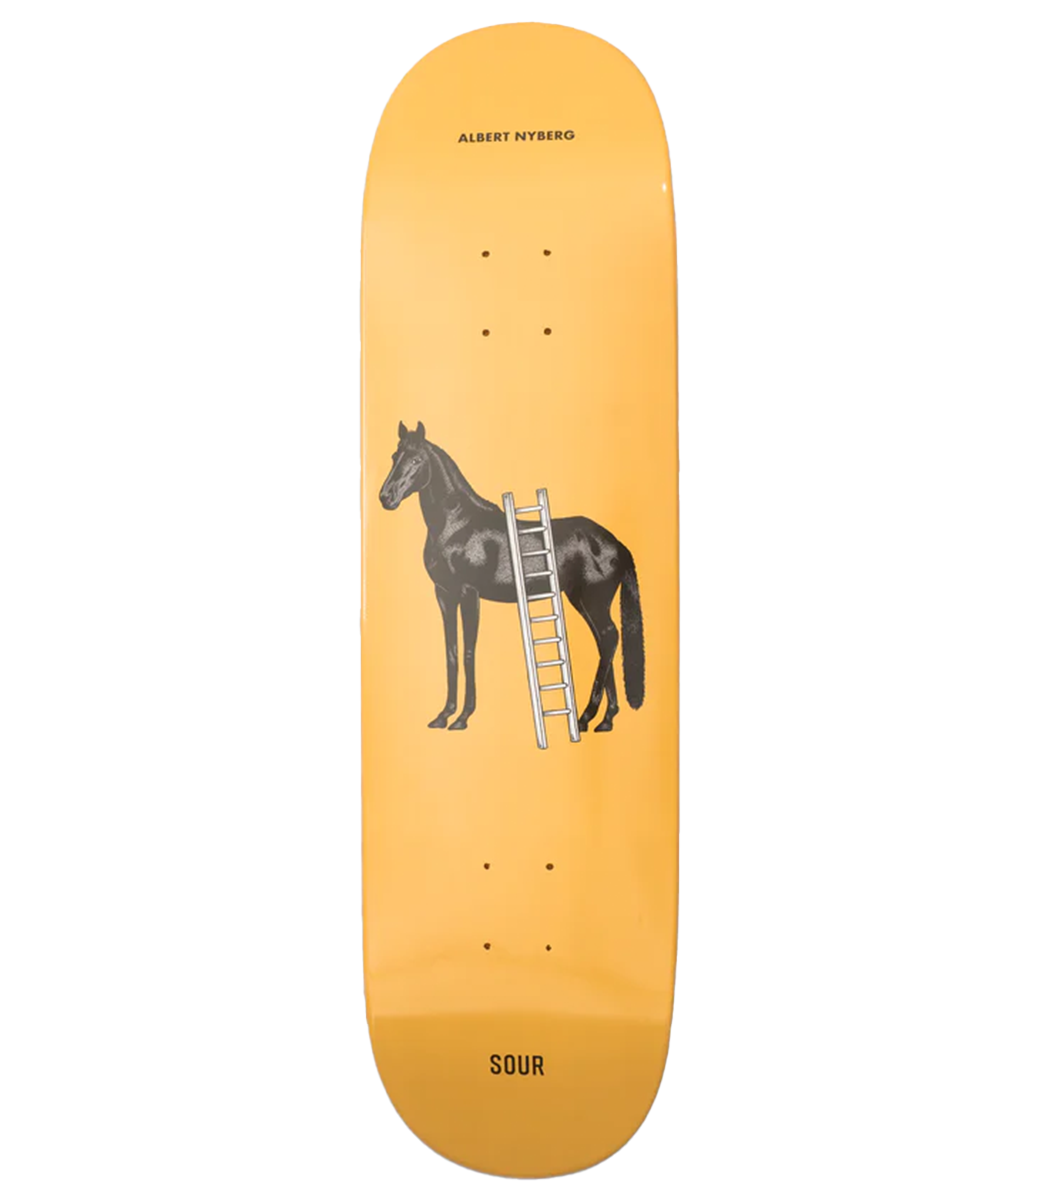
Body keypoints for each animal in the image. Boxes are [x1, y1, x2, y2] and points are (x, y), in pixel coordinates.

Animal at [378, 422, 645, 734]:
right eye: (395, 457)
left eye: (417, 460)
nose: (386, 498)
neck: (457, 526)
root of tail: (617, 543)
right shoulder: (444, 594)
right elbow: (451, 653)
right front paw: (443, 715)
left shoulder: (469, 593)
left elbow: (468, 653)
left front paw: (462, 718)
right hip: (582, 600)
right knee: (605, 641)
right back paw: (604, 720)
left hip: (592, 600)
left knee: (609, 638)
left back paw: (586, 716)